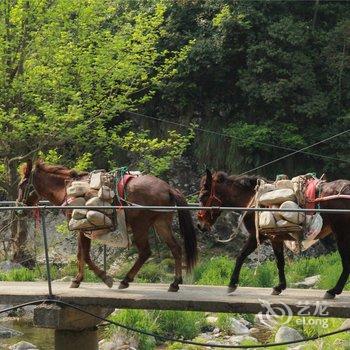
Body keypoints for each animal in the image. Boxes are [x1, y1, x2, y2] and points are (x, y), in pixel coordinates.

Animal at [17, 160, 197, 292]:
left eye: (21, 185)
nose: (19, 208)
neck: (66, 189)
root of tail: (168, 188)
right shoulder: (83, 230)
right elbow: (81, 255)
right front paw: (79, 279)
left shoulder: (82, 228)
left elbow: (85, 255)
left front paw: (102, 278)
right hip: (161, 224)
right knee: (175, 248)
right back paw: (174, 283)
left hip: (140, 226)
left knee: (145, 252)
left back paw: (125, 280)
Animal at [198, 170, 348, 298]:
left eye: (202, 196)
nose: (200, 225)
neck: (252, 201)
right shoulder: (275, 237)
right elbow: (280, 261)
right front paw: (280, 286)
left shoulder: (258, 235)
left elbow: (241, 255)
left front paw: (232, 284)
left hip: (342, 234)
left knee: (346, 262)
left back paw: (333, 291)